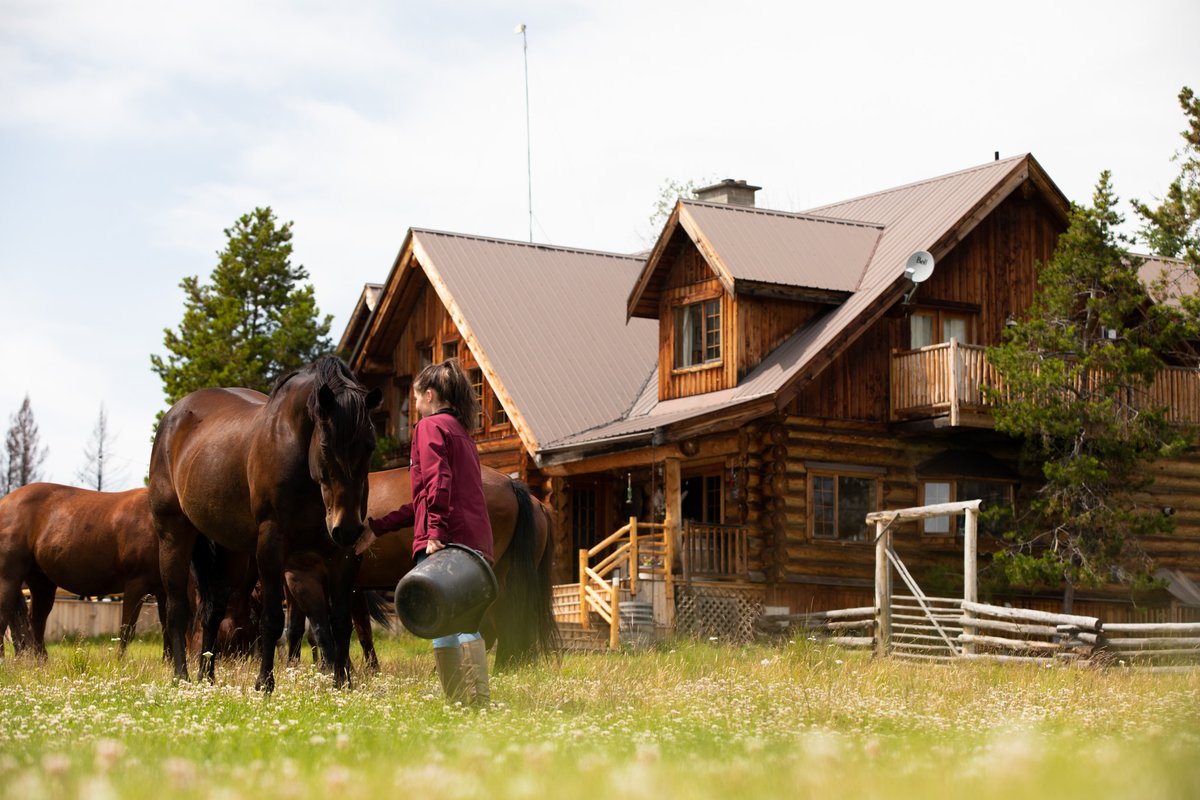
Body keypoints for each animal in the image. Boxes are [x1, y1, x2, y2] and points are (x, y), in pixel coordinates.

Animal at [0, 483, 166, 658]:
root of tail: (5, 502)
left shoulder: (164, 591)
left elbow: (168, 628)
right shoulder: (136, 585)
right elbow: (127, 631)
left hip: (42, 583)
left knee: (36, 624)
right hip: (8, 578)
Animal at [149, 356, 381, 691]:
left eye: (370, 445)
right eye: (326, 446)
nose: (346, 527)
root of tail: (173, 417)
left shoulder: (346, 553)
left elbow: (340, 621)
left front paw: (342, 684)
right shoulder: (272, 546)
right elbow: (272, 619)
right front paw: (265, 683)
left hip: (232, 553)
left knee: (212, 612)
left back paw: (207, 677)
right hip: (173, 536)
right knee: (177, 608)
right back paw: (182, 676)